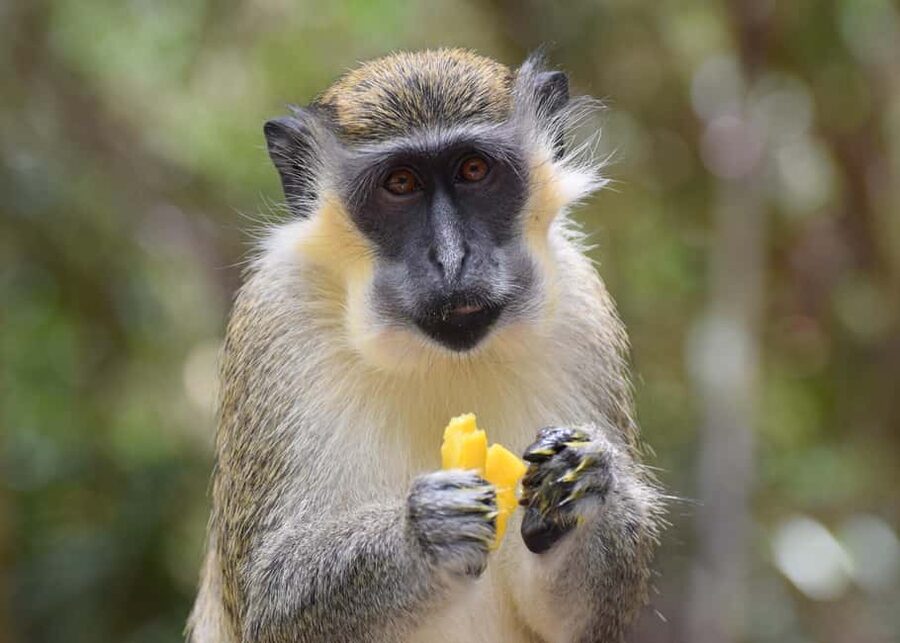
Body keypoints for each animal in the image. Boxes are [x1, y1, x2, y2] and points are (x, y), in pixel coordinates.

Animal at [187, 48, 663, 643]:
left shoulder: (581, 308)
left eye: (473, 170)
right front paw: (425, 531)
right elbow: (270, 602)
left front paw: (584, 480)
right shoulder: (274, 321)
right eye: (401, 183)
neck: (434, 356)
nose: (452, 259)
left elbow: (585, 624)